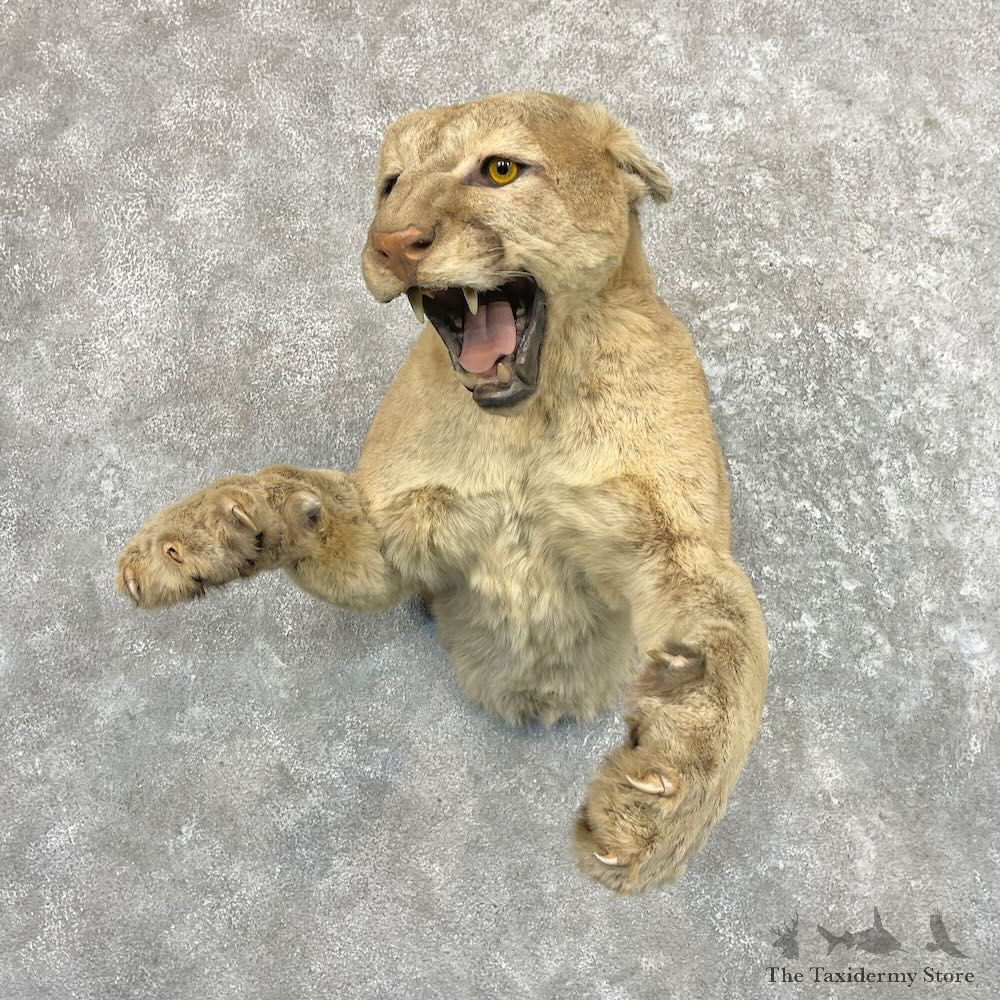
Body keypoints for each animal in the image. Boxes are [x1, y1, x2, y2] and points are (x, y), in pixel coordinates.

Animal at [115, 91, 769, 894]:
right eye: (390, 184)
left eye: (500, 169)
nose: (393, 243)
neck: (528, 421)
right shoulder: (397, 542)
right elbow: (300, 494)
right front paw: (201, 535)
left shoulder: (675, 544)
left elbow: (732, 647)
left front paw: (658, 797)